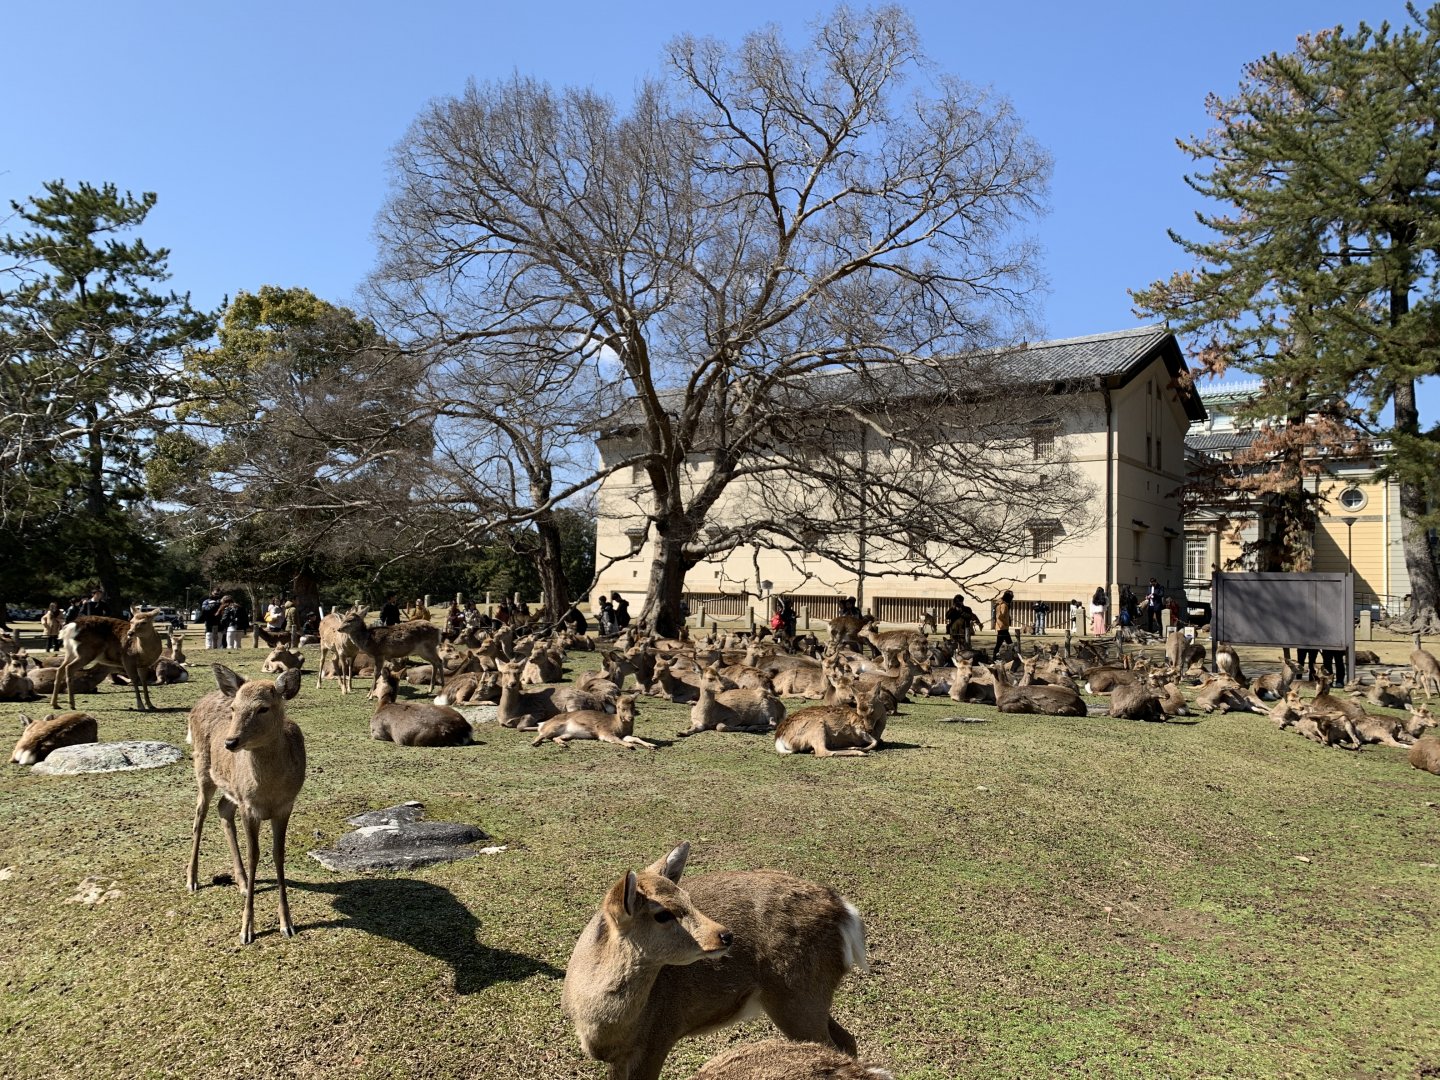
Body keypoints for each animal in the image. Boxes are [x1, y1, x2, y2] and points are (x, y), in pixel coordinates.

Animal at [186, 664, 305, 945]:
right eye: (234, 708)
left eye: (263, 708)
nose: (230, 742)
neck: (268, 791)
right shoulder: (249, 807)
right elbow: (254, 856)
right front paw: (246, 929)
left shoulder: (285, 805)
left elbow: (278, 854)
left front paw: (287, 924)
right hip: (202, 770)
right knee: (199, 815)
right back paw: (192, 879)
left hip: (231, 790)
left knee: (222, 809)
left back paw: (240, 882)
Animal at [561, 841, 867, 1080]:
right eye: (662, 913)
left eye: (688, 898)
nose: (726, 935)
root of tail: (845, 912)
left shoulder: (659, 1036)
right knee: (846, 1039)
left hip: (799, 995)